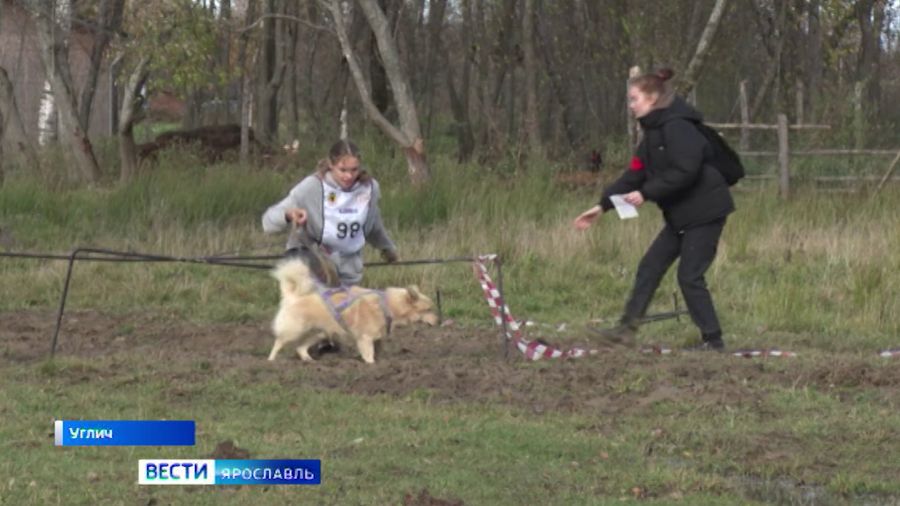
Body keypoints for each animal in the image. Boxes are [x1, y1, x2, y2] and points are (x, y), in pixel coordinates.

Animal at [266, 260, 438, 364]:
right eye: (428, 309)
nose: (439, 321)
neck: (386, 305)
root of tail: (293, 295)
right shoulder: (365, 339)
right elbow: (369, 356)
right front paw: (371, 366)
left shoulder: (376, 339)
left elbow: (377, 351)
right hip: (294, 330)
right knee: (279, 342)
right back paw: (271, 361)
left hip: (319, 332)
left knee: (300, 347)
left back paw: (310, 361)